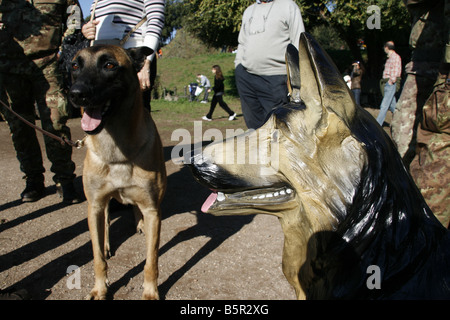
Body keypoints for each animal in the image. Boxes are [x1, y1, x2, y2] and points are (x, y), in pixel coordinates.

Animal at [70, 45, 167, 300]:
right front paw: (100, 288)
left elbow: (151, 261)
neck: (117, 153)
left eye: (109, 65)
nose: (76, 94)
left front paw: (150, 291)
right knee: (103, 222)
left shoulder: (153, 211)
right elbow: (97, 258)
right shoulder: (94, 204)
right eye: (75, 65)